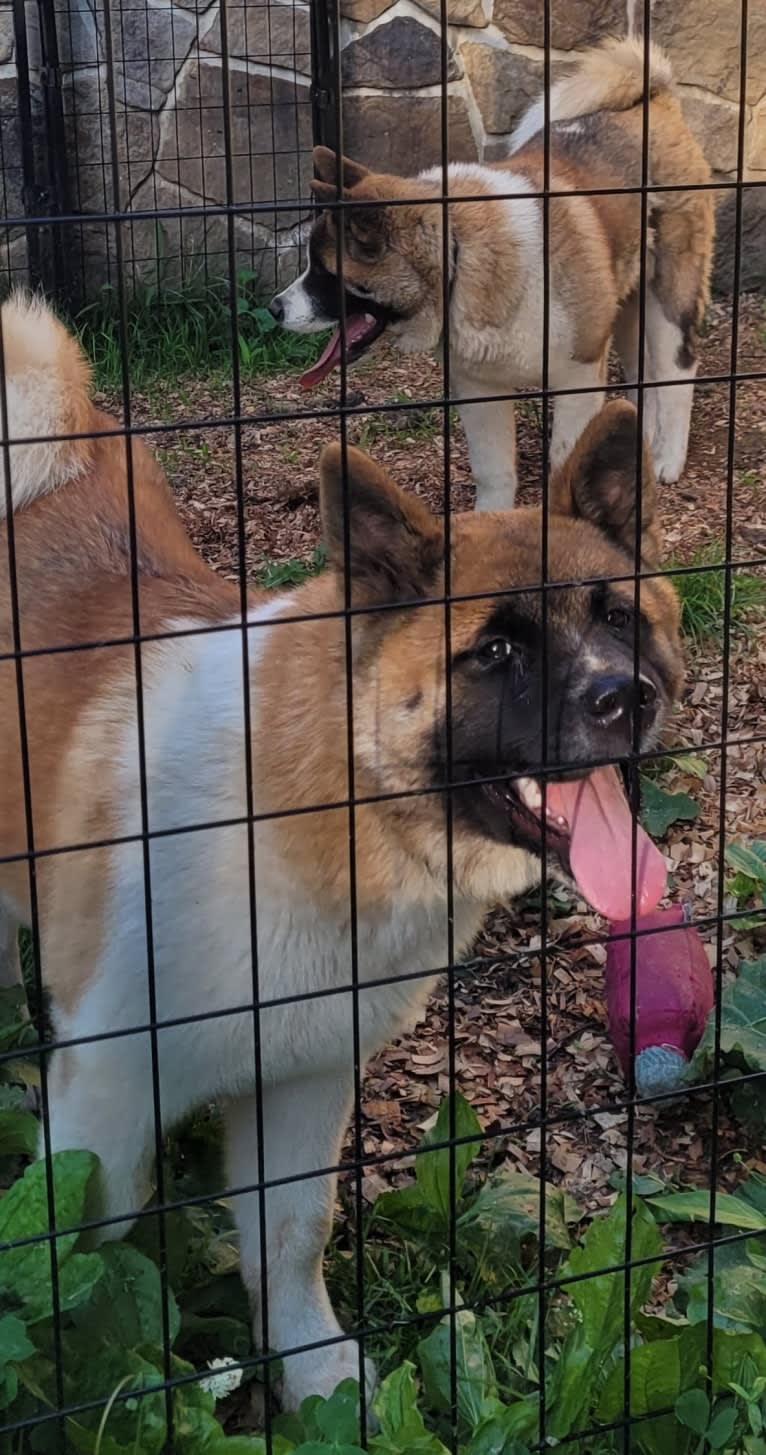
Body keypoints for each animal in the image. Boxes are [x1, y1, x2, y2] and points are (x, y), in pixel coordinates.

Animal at [0, 292, 684, 1408]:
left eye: (618, 617)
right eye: (495, 650)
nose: (625, 697)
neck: (321, 808)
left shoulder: (306, 1077)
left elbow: (291, 1233)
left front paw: (312, 1371)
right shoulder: (107, 1097)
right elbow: (88, 1254)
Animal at [270, 36, 713, 512]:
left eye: (326, 273)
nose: (275, 309)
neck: (462, 256)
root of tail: (655, 99)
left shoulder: (579, 375)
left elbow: (565, 459)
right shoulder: (479, 389)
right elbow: (493, 470)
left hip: (670, 298)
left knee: (677, 372)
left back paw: (667, 458)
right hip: (628, 305)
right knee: (640, 376)